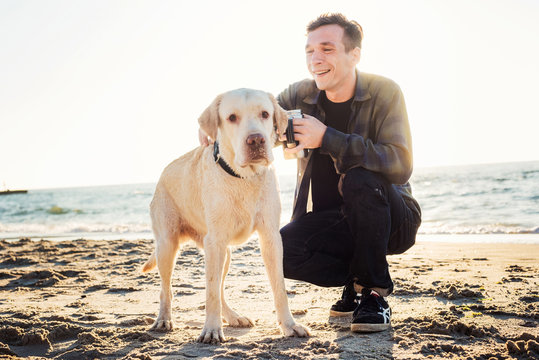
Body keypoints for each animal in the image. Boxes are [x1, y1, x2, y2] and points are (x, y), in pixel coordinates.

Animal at [142, 87, 312, 344]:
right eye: (232, 117)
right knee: (166, 289)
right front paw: (211, 329)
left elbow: (279, 287)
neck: (244, 178)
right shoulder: (215, 241)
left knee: (219, 289)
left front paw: (289, 326)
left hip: (225, 253)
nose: (256, 140)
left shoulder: (271, 238)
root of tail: (162, 174)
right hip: (168, 246)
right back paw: (164, 319)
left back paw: (232, 316)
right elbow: (210, 292)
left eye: (265, 114)